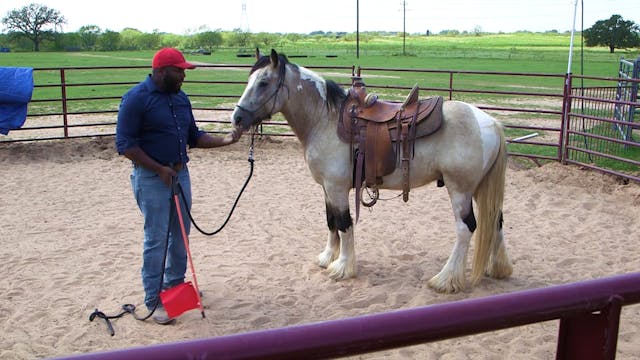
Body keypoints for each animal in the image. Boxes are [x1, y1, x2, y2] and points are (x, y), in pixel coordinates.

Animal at [232, 49, 512, 294]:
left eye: (263, 83)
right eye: (250, 80)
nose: (237, 118)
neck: (325, 120)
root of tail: (490, 122)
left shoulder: (336, 188)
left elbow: (344, 224)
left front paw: (343, 267)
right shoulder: (327, 188)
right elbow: (330, 221)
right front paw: (327, 257)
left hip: (460, 190)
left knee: (466, 228)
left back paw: (446, 279)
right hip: (479, 188)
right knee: (495, 220)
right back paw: (497, 268)